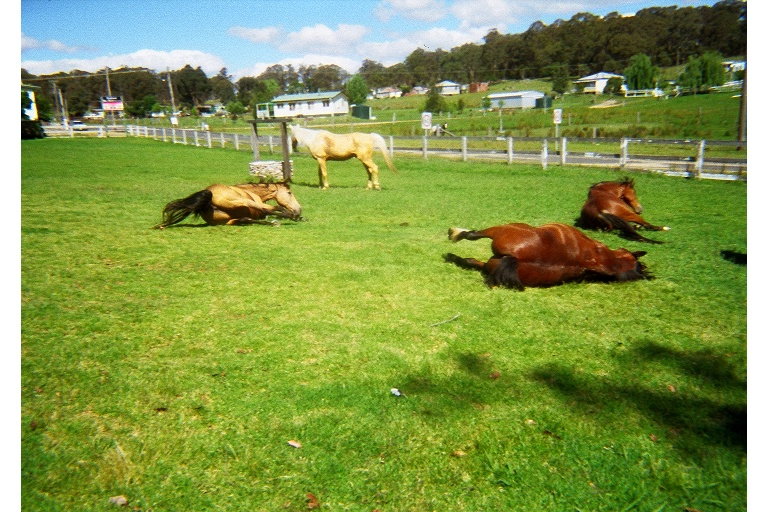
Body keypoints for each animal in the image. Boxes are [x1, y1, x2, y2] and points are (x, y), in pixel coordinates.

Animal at [154, 181, 302, 229]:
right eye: (289, 193)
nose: (299, 209)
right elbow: (272, 209)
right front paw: (292, 215)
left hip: (228, 221)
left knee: (245, 220)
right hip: (243, 202)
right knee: (270, 209)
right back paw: (288, 217)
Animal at [444, 222, 651, 290]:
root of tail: (516, 259)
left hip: (501, 229)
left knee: (472, 235)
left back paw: (451, 242)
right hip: (491, 263)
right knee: (471, 260)